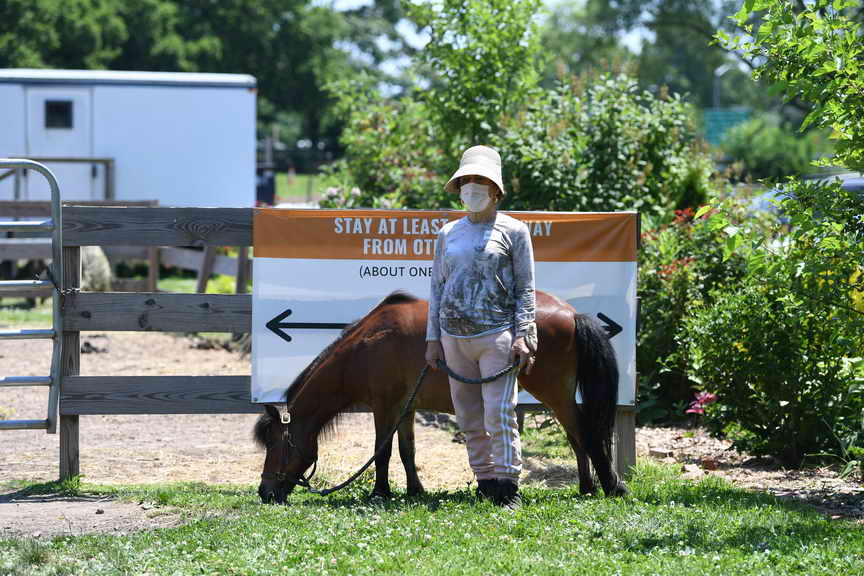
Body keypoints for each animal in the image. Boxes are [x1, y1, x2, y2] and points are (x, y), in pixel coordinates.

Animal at [254, 290, 627, 503]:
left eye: (274, 443)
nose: (265, 492)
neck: (366, 346)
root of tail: (571, 314)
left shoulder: (384, 406)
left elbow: (382, 452)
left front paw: (380, 493)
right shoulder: (404, 409)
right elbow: (407, 451)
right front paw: (414, 490)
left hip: (553, 392)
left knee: (583, 435)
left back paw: (605, 486)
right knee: (577, 438)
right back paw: (587, 486)